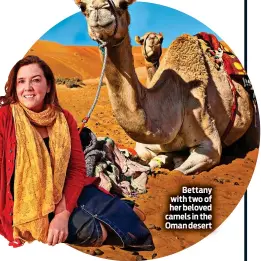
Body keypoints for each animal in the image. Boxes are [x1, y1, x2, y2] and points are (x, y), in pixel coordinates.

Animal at [74, 0, 255, 175]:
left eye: (124, 4)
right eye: (83, 7)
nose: (99, 8)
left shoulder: (210, 145)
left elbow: (179, 171)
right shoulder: (145, 146)